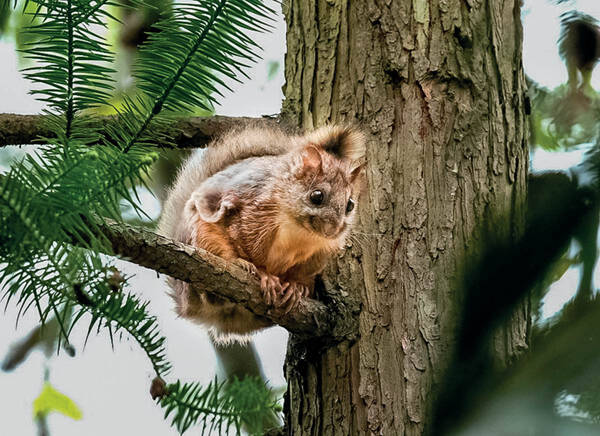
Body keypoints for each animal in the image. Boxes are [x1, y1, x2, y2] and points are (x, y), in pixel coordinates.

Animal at [158, 123, 366, 344]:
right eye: (316, 196)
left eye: (350, 205)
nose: (333, 229)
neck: (301, 232)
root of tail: (185, 302)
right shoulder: (254, 213)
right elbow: (250, 246)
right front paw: (264, 274)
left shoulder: (319, 253)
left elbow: (303, 272)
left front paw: (297, 286)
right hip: (202, 236)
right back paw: (238, 264)